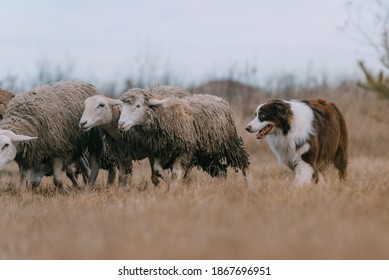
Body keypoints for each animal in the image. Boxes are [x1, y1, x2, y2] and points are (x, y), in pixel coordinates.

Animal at [116, 88, 249, 187]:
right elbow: (157, 170)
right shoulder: (160, 151)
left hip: (230, 144)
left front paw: (173, 188)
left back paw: (249, 184)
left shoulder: (184, 151)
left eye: (138, 106)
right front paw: (169, 183)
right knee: (221, 171)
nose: (120, 124)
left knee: (243, 163)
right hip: (206, 153)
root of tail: (220, 99)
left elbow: (175, 174)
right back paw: (222, 186)